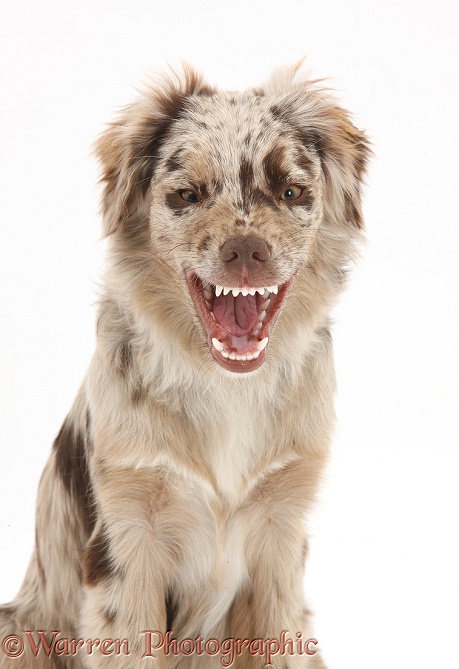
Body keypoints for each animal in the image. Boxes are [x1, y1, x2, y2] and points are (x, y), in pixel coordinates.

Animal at [0, 64, 372, 668]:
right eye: (187, 195)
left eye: (292, 192)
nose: (246, 250)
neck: (226, 387)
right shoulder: (127, 543)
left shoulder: (280, 537)